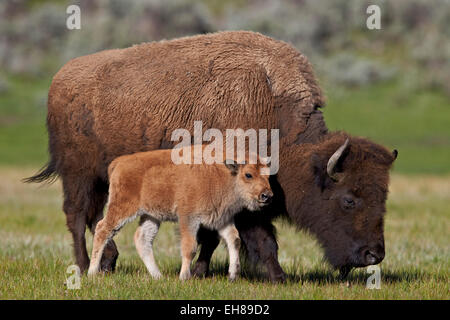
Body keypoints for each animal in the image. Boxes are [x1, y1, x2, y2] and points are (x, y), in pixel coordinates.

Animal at [86, 146, 272, 282]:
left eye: (268, 175)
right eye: (248, 174)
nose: (267, 195)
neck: (220, 172)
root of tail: (119, 162)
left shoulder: (222, 219)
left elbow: (234, 240)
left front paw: (233, 275)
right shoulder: (188, 219)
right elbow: (190, 247)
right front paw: (184, 277)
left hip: (152, 216)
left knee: (142, 238)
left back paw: (158, 276)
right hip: (122, 208)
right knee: (103, 229)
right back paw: (92, 272)